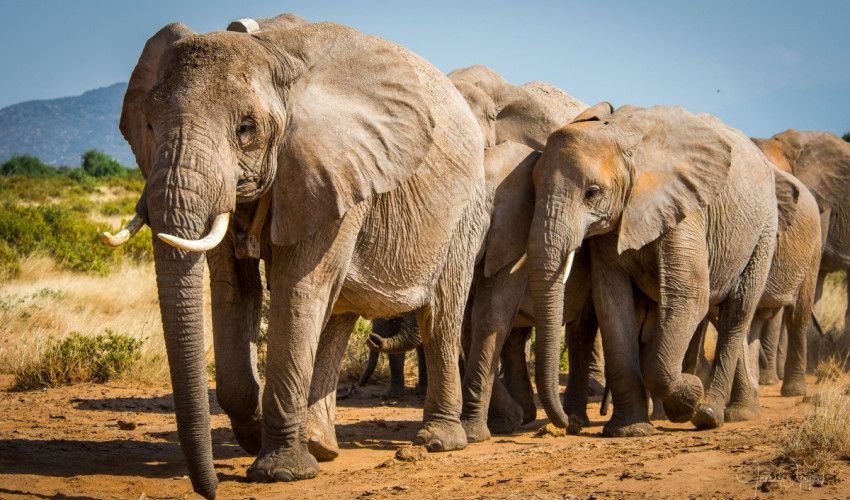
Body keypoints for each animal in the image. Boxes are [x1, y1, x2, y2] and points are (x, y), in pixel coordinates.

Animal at [104, 17, 490, 498]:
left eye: (246, 129)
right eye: (150, 125)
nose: (209, 490)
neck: (271, 55)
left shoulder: (334, 169)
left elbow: (296, 288)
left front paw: (280, 472)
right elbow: (233, 290)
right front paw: (255, 436)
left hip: (466, 212)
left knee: (440, 314)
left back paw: (438, 442)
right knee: (338, 314)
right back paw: (321, 445)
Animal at [532, 102, 780, 438]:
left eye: (592, 192)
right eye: (532, 188)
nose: (567, 424)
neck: (621, 136)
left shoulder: (684, 207)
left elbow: (689, 295)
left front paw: (690, 395)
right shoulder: (613, 226)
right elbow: (612, 303)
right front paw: (630, 431)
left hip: (764, 228)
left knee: (736, 313)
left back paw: (708, 415)